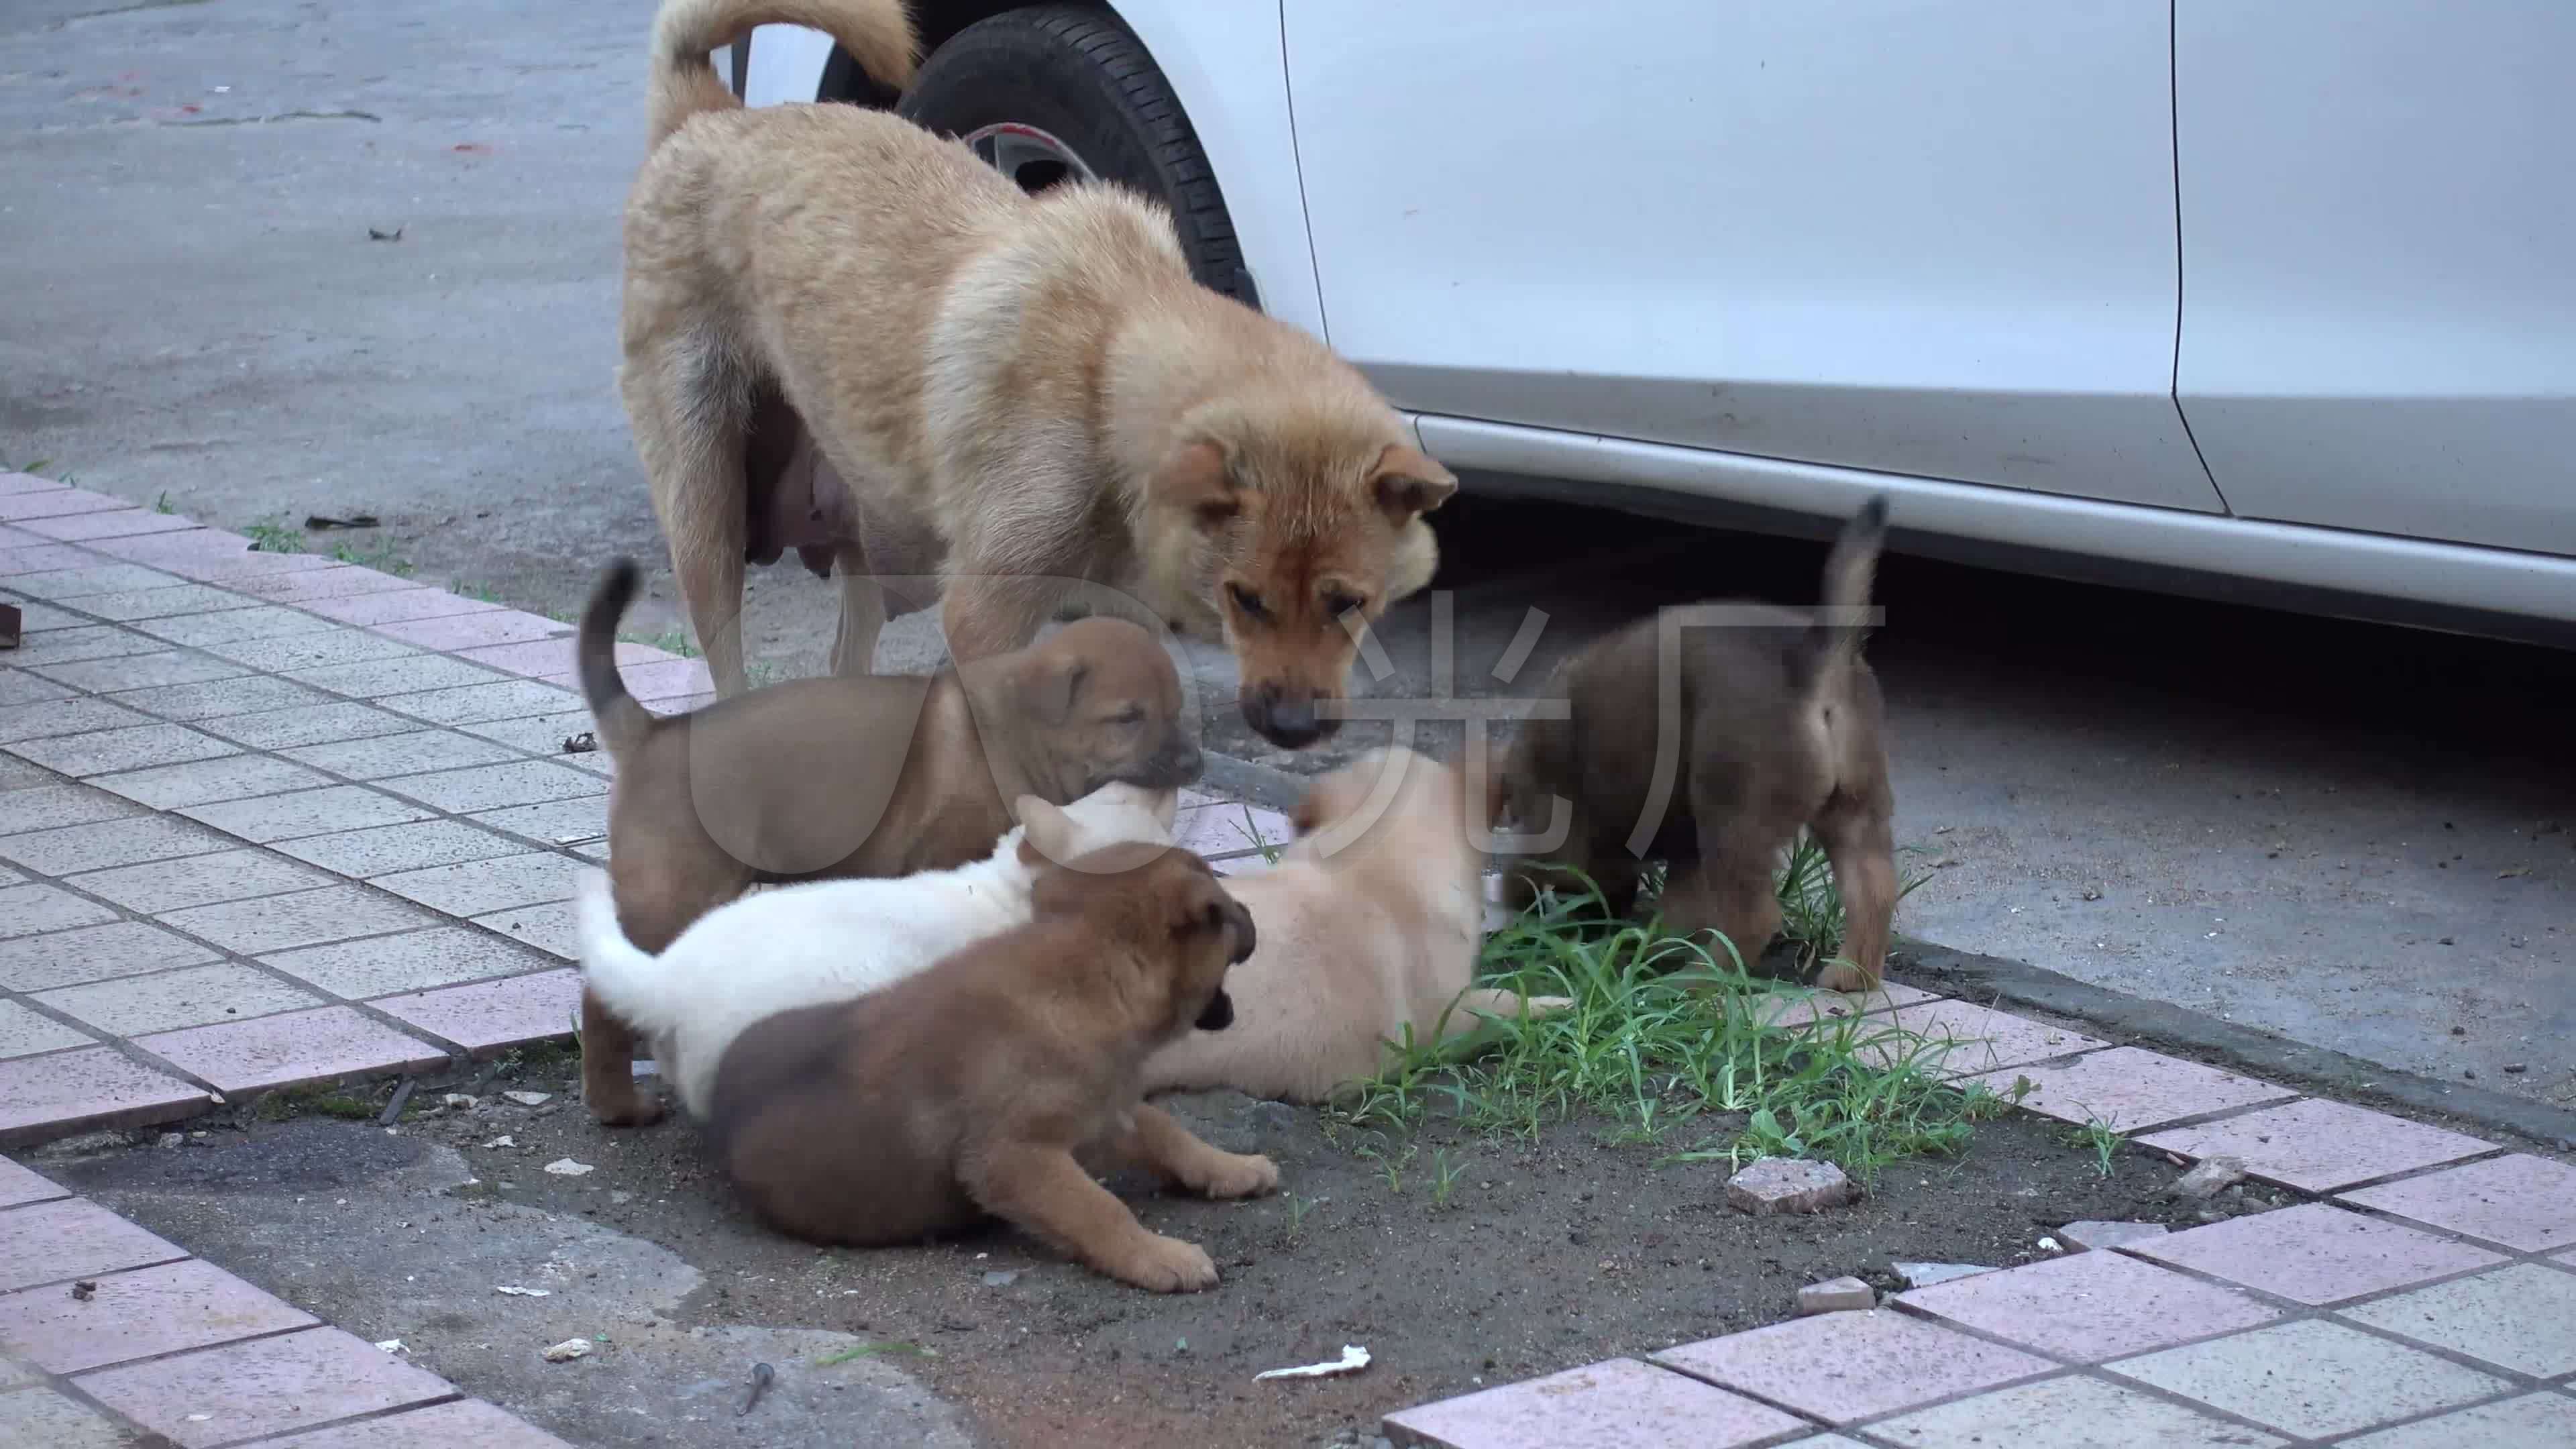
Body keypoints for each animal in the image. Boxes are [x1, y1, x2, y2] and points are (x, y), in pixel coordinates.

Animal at [574, 546, 1195, 1124]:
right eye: (1127, 718)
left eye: (1178, 710)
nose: (1195, 762)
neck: (1019, 733)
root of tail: (650, 733)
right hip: (670, 893)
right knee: (602, 995)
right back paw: (618, 1104)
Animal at [621, 0, 1452, 742]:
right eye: (1244, 599)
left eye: (1348, 603)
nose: (1294, 729)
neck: (1106, 358)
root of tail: (708, 118)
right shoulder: (984, 621)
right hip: (708, 521)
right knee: (726, 672)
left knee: (844, 659)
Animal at [706, 835, 1277, 1284]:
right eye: (1229, 913)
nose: (1252, 914)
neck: (1092, 977)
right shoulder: (1014, 1156)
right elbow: (1099, 1208)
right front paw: (1158, 1256)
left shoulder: (1097, 1115)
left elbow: (1168, 1132)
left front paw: (1231, 1167)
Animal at [1494, 490, 1896, 985]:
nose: (1604, 922)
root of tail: (1815, 657)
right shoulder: (1684, 846)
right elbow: (1679, 909)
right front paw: (1651, 949)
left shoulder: (1556, 830)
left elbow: (1529, 873)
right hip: (1854, 808)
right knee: (1873, 890)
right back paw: (1848, 977)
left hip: (1733, 813)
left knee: (1753, 917)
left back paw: (1699, 981)